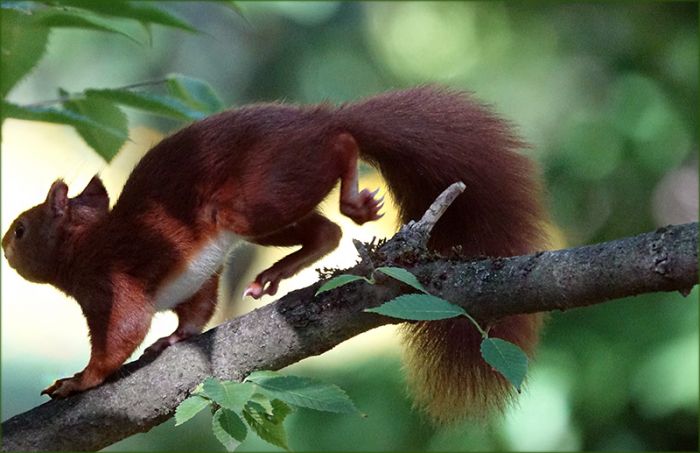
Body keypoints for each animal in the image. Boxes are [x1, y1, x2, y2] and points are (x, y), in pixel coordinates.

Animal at [2, 86, 545, 422]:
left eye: (23, 228)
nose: (4, 245)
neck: (86, 244)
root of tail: (317, 121)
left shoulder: (112, 281)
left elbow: (120, 336)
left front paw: (78, 381)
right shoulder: (191, 280)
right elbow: (195, 312)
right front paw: (173, 340)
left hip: (261, 195)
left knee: (343, 147)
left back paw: (352, 188)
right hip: (271, 208)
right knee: (325, 231)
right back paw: (277, 273)